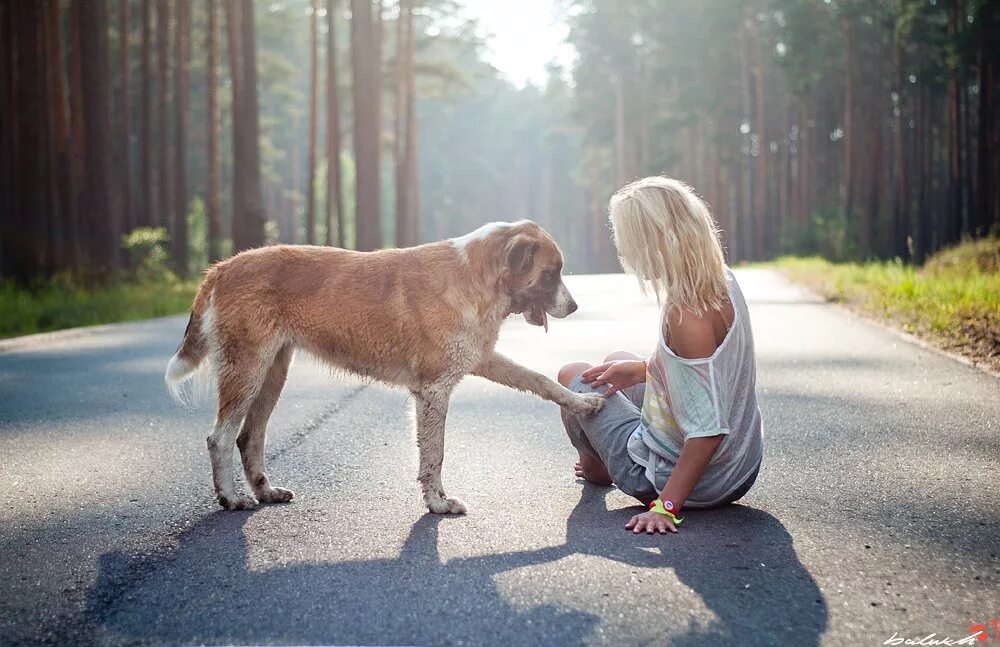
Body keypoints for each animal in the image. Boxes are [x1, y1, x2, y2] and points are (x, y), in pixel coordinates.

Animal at [165, 223, 600, 516]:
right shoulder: (433, 390)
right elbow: (435, 454)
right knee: (220, 438)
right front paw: (438, 503)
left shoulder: (481, 360)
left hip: (272, 374)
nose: (576, 306)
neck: (475, 278)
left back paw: (265, 492)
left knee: (249, 437)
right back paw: (231, 497)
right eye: (551, 272)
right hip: (247, 370)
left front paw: (584, 403)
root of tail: (221, 267)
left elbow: (541, 381)